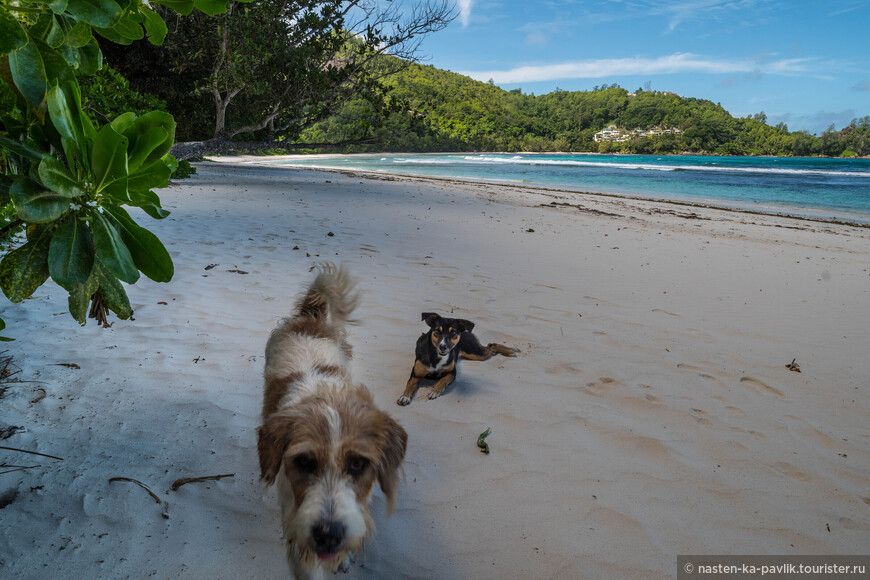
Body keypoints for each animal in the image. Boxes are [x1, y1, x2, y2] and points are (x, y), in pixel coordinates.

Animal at [258, 266, 408, 576]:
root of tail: (309, 317)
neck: (325, 398)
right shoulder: (298, 541)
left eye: (358, 464)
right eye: (304, 462)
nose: (328, 535)